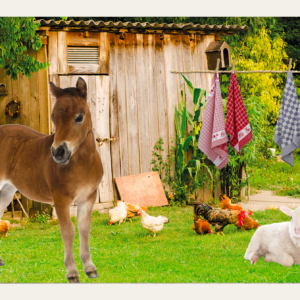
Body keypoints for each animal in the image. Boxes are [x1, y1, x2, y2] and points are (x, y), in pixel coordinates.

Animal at [0, 78, 103, 284]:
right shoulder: (61, 200)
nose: (58, 153)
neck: (82, 164)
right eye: (54, 118)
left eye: (79, 117)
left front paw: (90, 269)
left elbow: (84, 228)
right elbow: (68, 231)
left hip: (6, 191)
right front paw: (72, 273)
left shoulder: (88, 198)